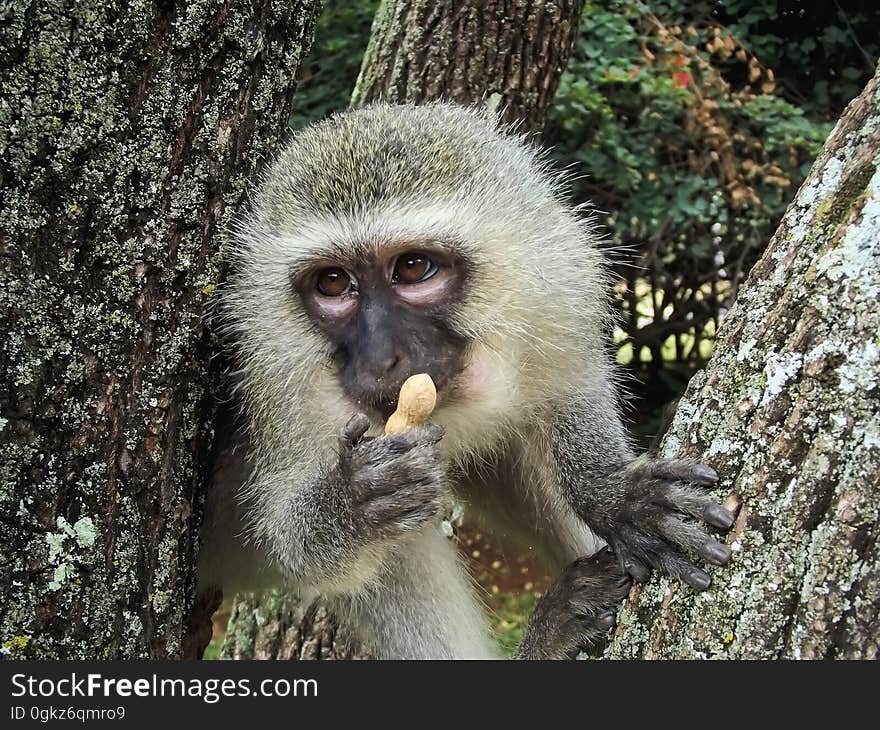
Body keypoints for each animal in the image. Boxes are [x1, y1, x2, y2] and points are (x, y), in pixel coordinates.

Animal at [194, 99, 736, 656]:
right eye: (332, 283)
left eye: (413, 268)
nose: (379, 359)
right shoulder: (280, 386)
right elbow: (290, 538)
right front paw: (349, 503)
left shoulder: (551, 293)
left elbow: (570, 387)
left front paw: (609, 491)